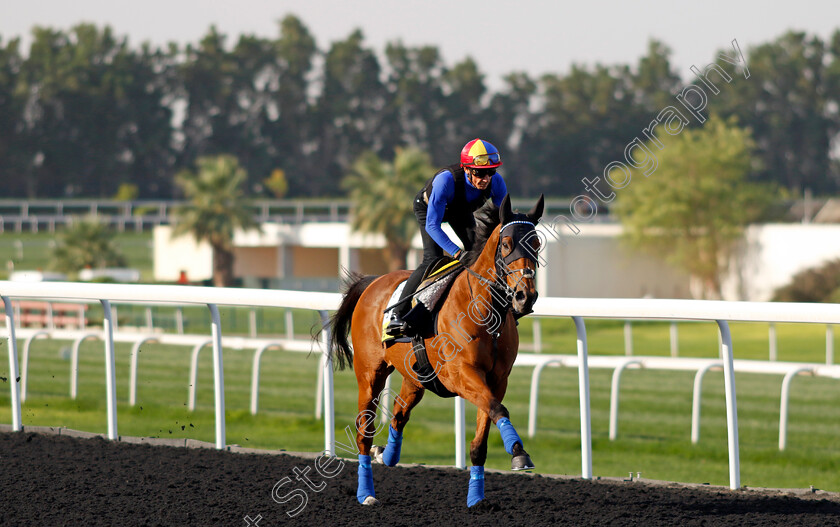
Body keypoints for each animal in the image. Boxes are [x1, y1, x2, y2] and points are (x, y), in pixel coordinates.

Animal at [324, 194, 540, 508]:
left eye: (537, 243)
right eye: (507, 244)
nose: (526, 296)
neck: (486, 313)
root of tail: (372, 281)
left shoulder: (497, 380)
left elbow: (483, 435)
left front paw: (477, 498)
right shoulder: (460, 375)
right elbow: (499, 409)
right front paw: (518, 452)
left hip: (416, 378)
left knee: (399, 414)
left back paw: (386, 454)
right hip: (370, 374)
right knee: (365, 432)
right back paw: (366, 493)